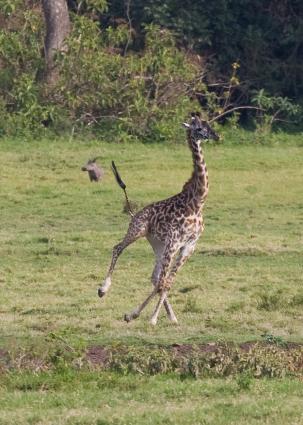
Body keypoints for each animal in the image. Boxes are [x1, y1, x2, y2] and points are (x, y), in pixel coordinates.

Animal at [98, 112, 220, 324]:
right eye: (198, 128)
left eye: (208, 125)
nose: (216, 136)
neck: (197, 202)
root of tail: (135, 213)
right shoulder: (174, 241)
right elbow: (165, 282)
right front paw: (147, 317)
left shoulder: (189, 245)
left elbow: (168, 282)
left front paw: (162, 317)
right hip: (138, 230)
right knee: (118, 248)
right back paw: (103, 289)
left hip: (157, 245)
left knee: (155, 277)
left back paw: (168, 315)